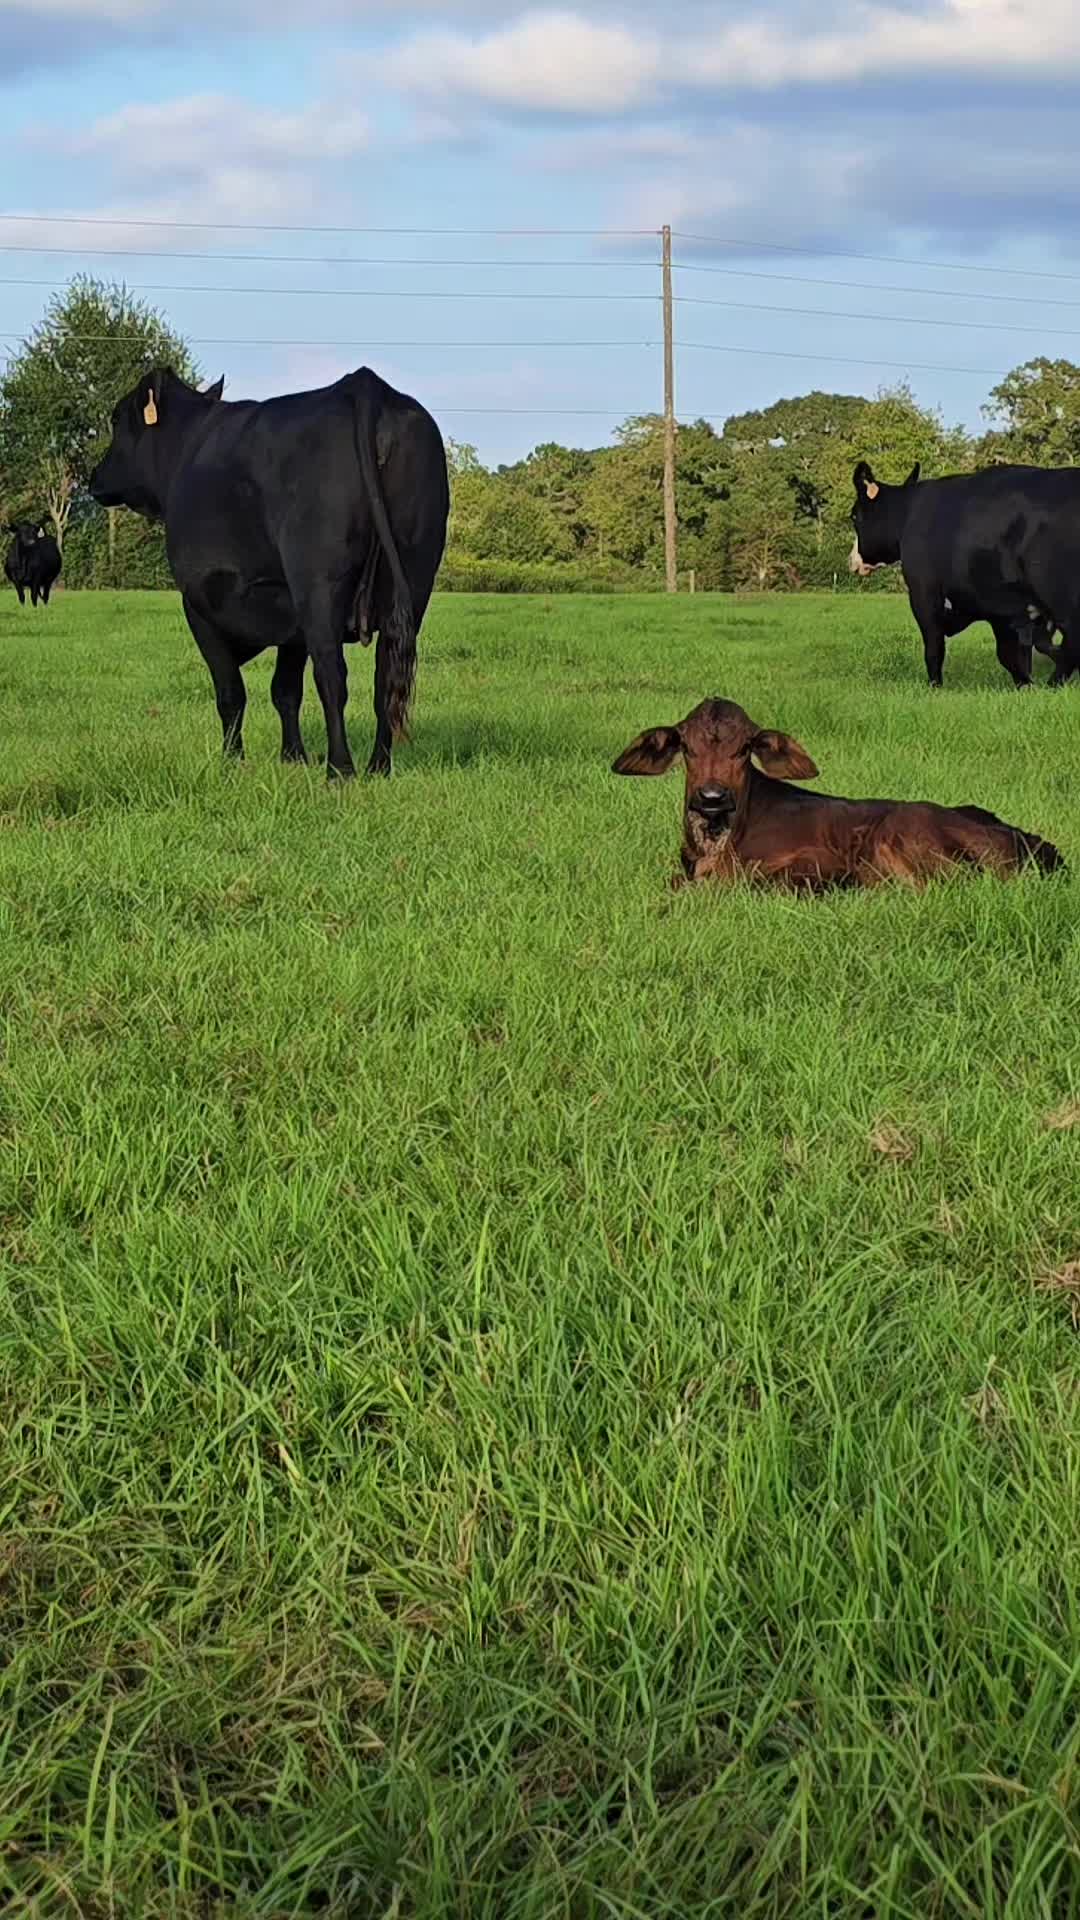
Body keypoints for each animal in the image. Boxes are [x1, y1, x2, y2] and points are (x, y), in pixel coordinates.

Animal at [88, 365, 450, 778]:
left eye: (116, 419)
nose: (94, 477)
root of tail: (364, 383)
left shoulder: (198, 603)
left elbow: (230, 691)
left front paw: (232, 761)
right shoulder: (290, 620)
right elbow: (285, 690)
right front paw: (293, 757)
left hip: (319, 583)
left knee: (331, 674)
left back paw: (340, 770)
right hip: (414, 574)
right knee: (386, 674)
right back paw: (378, 767)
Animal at [847, 460, 1080, 688]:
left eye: (854, 516)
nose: (852, 560)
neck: (908, 515)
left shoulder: (924, 594)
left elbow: (934, 647)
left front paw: (934, 686)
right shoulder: (1002, 610)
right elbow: (1013, 654)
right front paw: (1025, 683)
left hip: (1059, 596)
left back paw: (1053, 683)